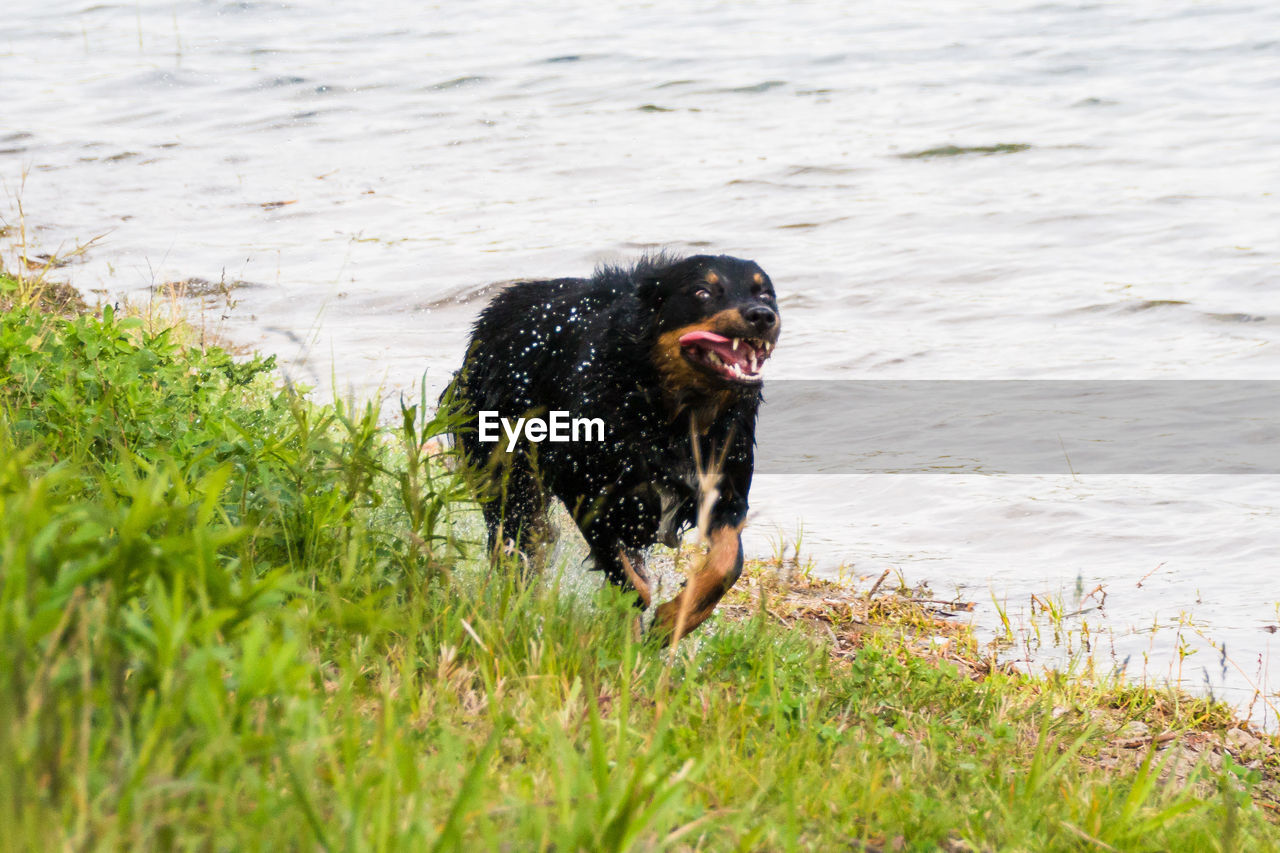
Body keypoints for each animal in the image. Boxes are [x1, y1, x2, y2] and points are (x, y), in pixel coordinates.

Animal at [445, 252, 773, 637]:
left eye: (765, 294)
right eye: (702, 292)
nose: (762, 316)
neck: (673, 414)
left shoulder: (726, 491)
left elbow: (727, 563)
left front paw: (675, 618)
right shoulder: (586, 488)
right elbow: (628, 578)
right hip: (510, 477)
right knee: (518, 547)